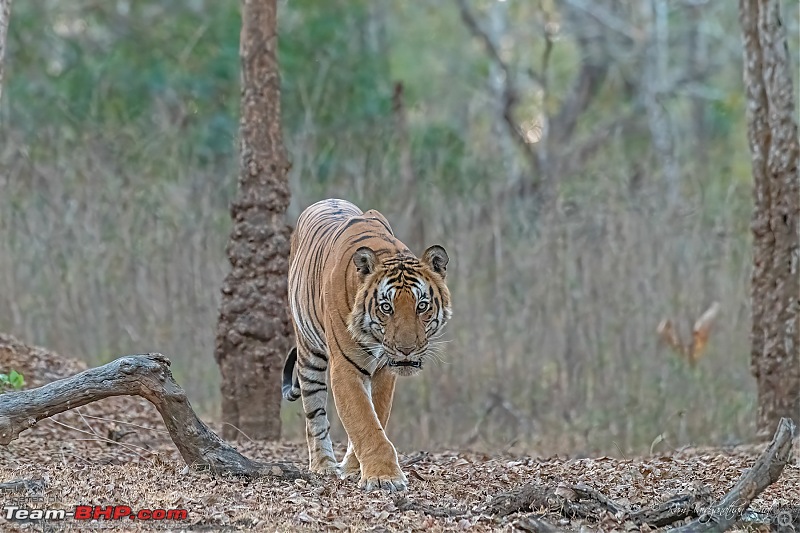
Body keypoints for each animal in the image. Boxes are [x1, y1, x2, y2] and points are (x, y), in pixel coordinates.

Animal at [282, 198, 450, 490]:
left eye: (422, 306)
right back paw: (323, 465)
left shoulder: (384, 370)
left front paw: (355, 469)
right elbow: (363, 420)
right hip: (308, 353)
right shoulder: (345, 369)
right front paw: (384, 477)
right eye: (386, 307)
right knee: (314, 413)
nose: (406, 350)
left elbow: (375, 416)